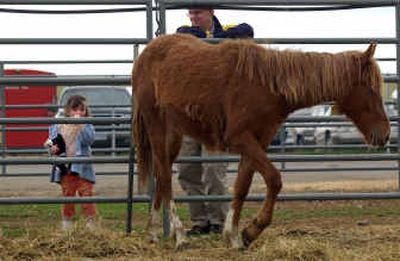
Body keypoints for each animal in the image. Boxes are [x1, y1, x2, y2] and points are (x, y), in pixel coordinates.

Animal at [132, 33, 390, 249]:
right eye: (371, 89)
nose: (385, 134)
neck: (267, 85)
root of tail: (146, 53)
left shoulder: (257, 141)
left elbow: (242, 186)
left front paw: (234, 236)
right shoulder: (240, 139)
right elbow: (274, 179)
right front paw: (251, 231)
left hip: (174, 135)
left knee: (161, 175)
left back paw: (152, 233)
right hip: (156, 126)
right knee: (165, 177)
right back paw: (179, 235)